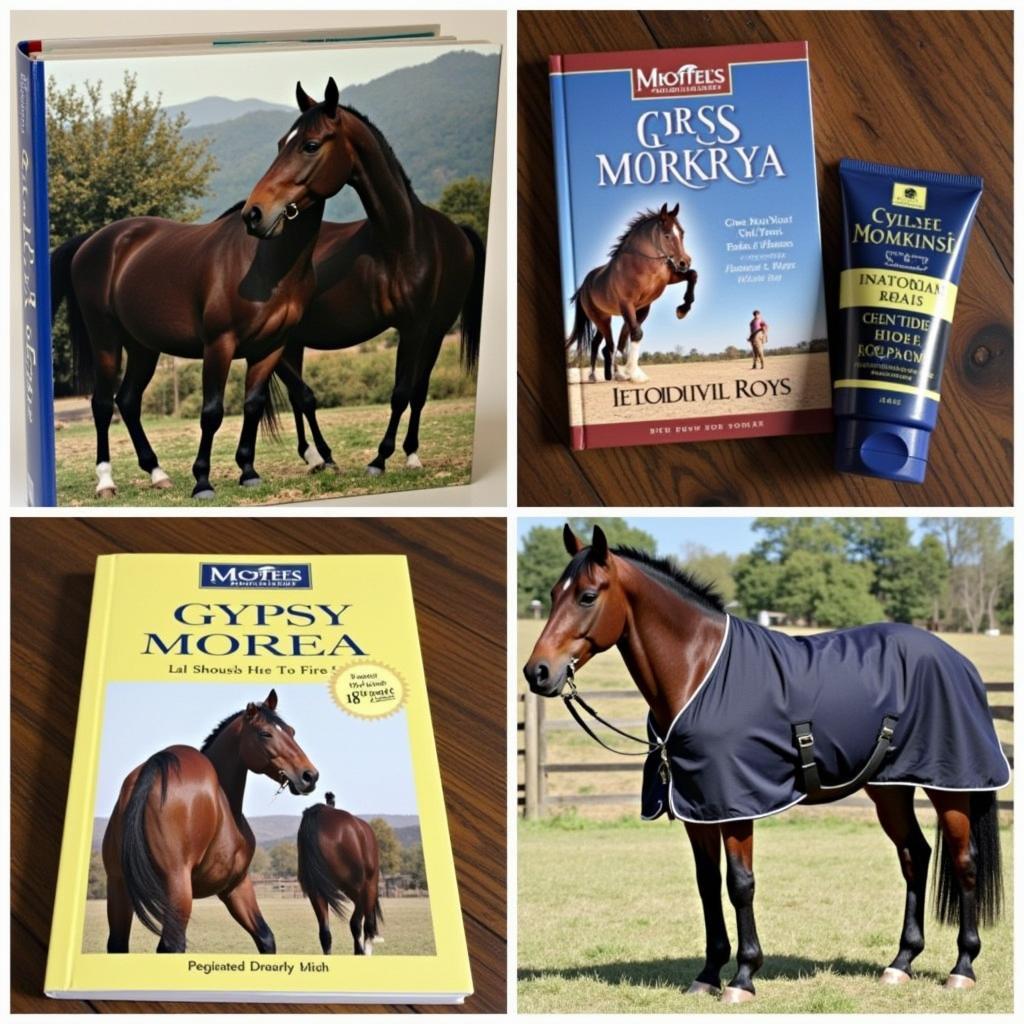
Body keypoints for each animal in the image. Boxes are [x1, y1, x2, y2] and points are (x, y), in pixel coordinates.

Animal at [65, 75, 352, 499]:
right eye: (283, 143)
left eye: (310, 144)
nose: (257, 214)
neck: (266, 265)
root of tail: (93, 243)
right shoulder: (219, 344)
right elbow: (212, 411)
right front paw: (202, 480)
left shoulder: (271, 348)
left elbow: (252, 404)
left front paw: (248, 472)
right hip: (106, 341)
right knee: (102, 404)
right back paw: (106, 482)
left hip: (143, 346)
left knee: (128, 401)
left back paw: (158, 473)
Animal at [101, 688, 315, 950]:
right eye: (266, 734)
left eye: (291, 731)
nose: (309, 775)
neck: (224, 797)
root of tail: (154, 767)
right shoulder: (236, 885)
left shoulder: (234, 889)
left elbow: (265, 937)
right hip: (178, 890)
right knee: (172, 946)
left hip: (119, 886)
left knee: (118, 944)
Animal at [524, 528, 1011, 999]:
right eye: (552, 593)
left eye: (587, 596)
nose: (538, 672)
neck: (699, 672)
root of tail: (958, 661)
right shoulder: (699, 807)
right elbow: (707, 883)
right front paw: (708, 974)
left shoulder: (736, 805)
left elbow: (740, 884)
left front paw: (743, 977)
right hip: (889, 787)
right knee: (915, 855)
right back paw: (901, 963)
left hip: (948, 787)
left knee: (964, 861)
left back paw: (962, 968)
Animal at [565, 202, 700, 385]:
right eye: (666, 235)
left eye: (682, 233)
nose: (684, 262)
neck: (644, 262)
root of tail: (583, 286)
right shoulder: (627, 305)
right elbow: (636, 333)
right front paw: (635, 374)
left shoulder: (647, 302)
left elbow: (692, 275)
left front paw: (683, 309)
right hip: (600, 319)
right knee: (608, 345)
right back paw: (603, 375)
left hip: (605, 317)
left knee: (601, 344)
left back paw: (608, 375)